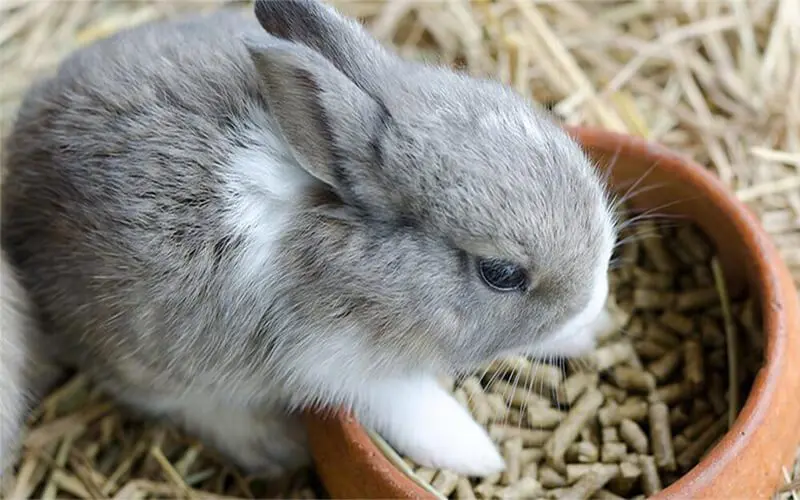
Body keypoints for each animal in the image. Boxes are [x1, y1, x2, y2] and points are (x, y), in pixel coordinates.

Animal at [0, 0, 617, 479]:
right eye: (501, 274)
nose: (595, 303)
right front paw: (478, 456)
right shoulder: (337, 364)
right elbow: (413, 407)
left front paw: (586, 334)